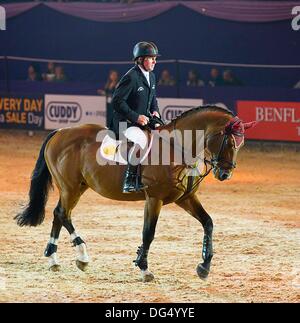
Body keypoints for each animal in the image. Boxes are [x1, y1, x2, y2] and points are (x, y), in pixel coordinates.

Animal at [14, 105, 255, 282]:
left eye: (241, 143)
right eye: (229, 141)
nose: (225, 174)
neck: (176, 148)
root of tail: (60, 132)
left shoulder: (185, 198)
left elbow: (208, 223)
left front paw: (204, 266)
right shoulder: (154, 198)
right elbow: (148, 233)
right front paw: (144, 268)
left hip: (77, 187)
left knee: (59, 214)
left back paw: (56, 259)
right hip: (70, 187)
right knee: (62, 214)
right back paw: (80, 255)